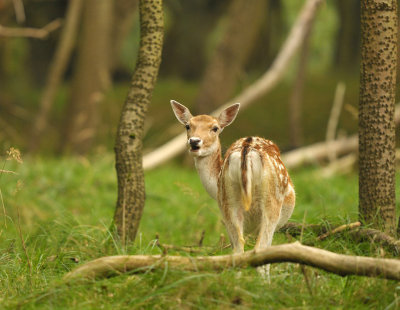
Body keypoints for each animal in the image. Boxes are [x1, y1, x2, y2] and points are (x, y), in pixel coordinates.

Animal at [170, 100, 296, 276]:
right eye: (188, 126)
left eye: (215, 128)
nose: (194, 141)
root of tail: (247, 151)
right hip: (271, 203)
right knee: (259, 249)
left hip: (229, 202)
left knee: (238, 251)